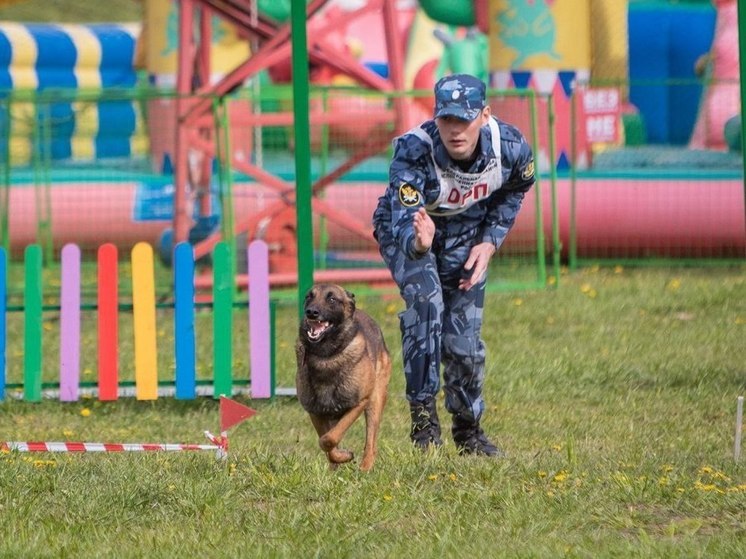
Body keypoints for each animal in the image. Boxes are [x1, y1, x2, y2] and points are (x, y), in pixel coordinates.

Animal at [294, 284, 392, 472]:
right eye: (309, 297)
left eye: (332, 299)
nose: (311, 312)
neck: (326, 357)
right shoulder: (315, 412)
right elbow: (326, 442)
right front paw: (340, 458)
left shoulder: (358, 403)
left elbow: (328, 439)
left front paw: (346, 456)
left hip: (375, 401)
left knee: (371, 443)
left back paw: (365, 469)